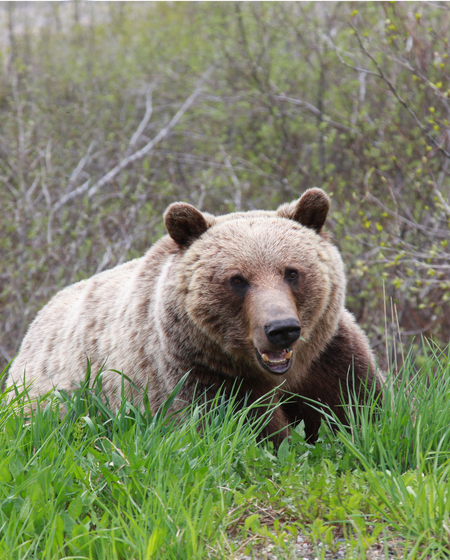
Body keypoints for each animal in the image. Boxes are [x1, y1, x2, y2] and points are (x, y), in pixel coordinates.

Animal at [6, 188, 380, 442]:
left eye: (292, 272)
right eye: (237, 279)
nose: (281, 329)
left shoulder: (329, 360)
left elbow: (358, 407)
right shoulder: (198, 374)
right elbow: (245, 426)